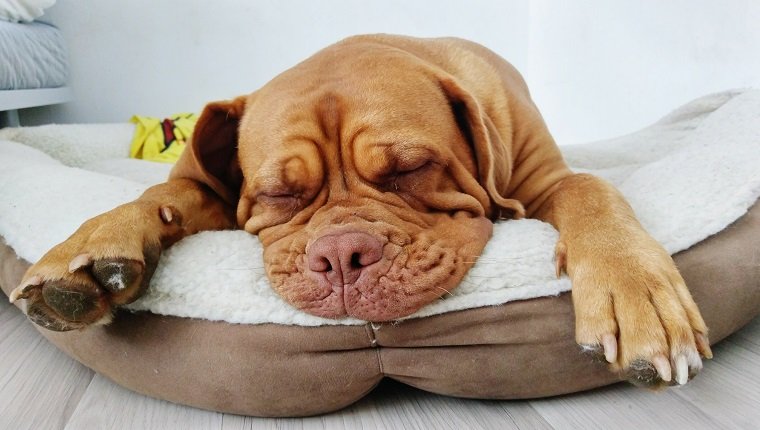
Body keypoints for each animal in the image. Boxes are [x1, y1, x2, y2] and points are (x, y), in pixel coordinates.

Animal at [10, 35, 712, 388]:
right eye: (278, 195)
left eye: (410, 168)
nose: (341, 256)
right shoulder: (214, 192)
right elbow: (165, 196)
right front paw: (90, 250)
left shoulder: (548, 178)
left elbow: (591, 189)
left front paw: (636, 296)